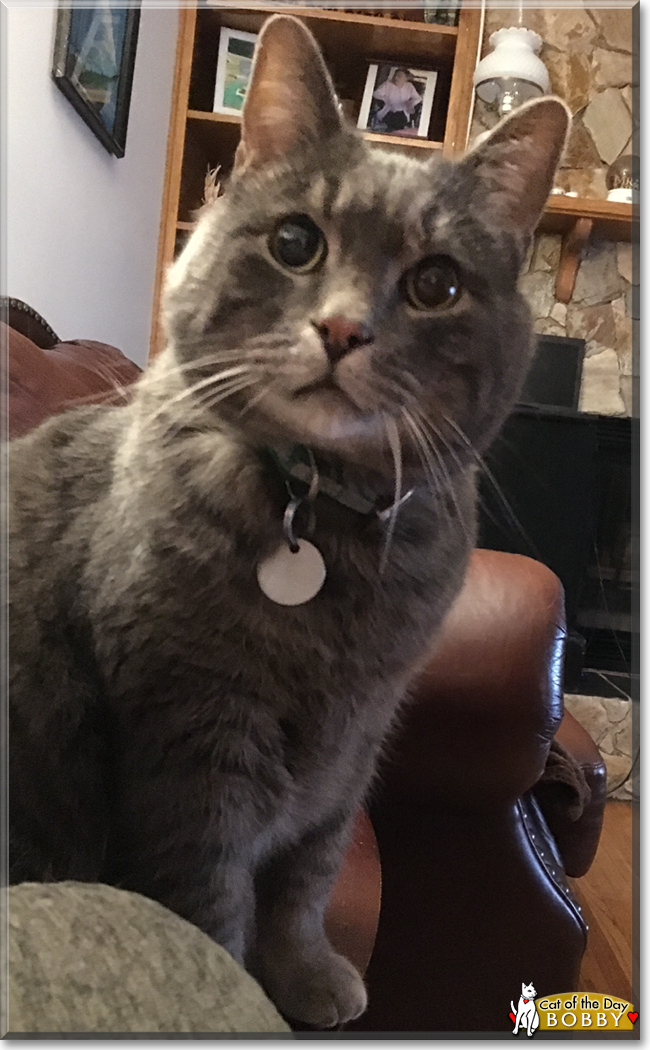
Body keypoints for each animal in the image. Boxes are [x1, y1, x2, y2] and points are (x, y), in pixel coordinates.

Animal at [8, 16, 571, 1029]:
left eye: (436, 284)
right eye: (297, 241)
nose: (343, 330)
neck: (323, 523)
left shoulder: (359, 738)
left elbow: (307, 874)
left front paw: (304, 970)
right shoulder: (192, 738)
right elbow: (211, 898)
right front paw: (243, 992)